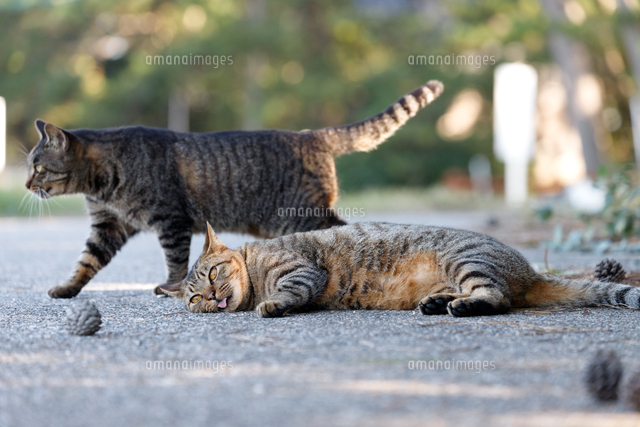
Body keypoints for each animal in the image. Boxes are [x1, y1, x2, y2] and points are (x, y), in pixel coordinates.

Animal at [26, 82, 444, 300]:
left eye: (37, 166)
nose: (27, 183)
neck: (103, 185)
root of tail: (311, 135)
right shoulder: (107, 226)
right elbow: (87, 262)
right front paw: (66, 288)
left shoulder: (171, 221)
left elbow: (175, 261)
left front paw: (172, 287)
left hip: (301, 214)